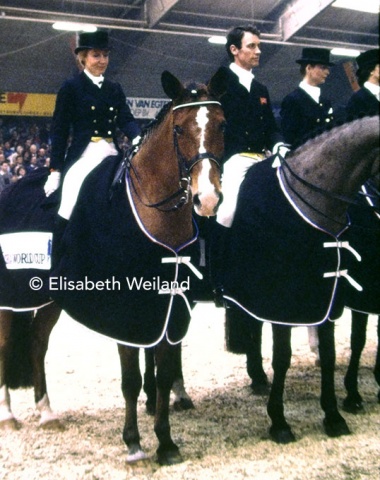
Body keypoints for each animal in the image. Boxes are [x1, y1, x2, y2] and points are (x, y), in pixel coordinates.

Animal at [218, 115, 378, 442]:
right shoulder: (283, 305)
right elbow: (283, 358)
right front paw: (279, 422)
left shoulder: (326, 297)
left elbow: (330, 354)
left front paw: (333, 416)